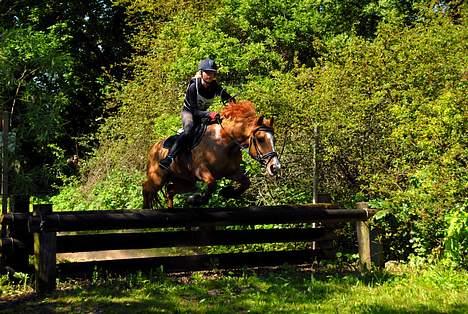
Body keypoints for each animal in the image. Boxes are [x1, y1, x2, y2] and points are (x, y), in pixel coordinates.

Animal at [142, 100, 282, 209]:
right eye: (260, 139)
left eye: (274, 140)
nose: (275, 167)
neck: (225, 142)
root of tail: (153, 148)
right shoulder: (201, 170)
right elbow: (212, 183)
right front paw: (195, 200)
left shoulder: (232, 172)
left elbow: (246, 183)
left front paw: (227, 192)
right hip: (158, 177)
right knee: (146, 188)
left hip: (187, 181)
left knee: (170, 190)